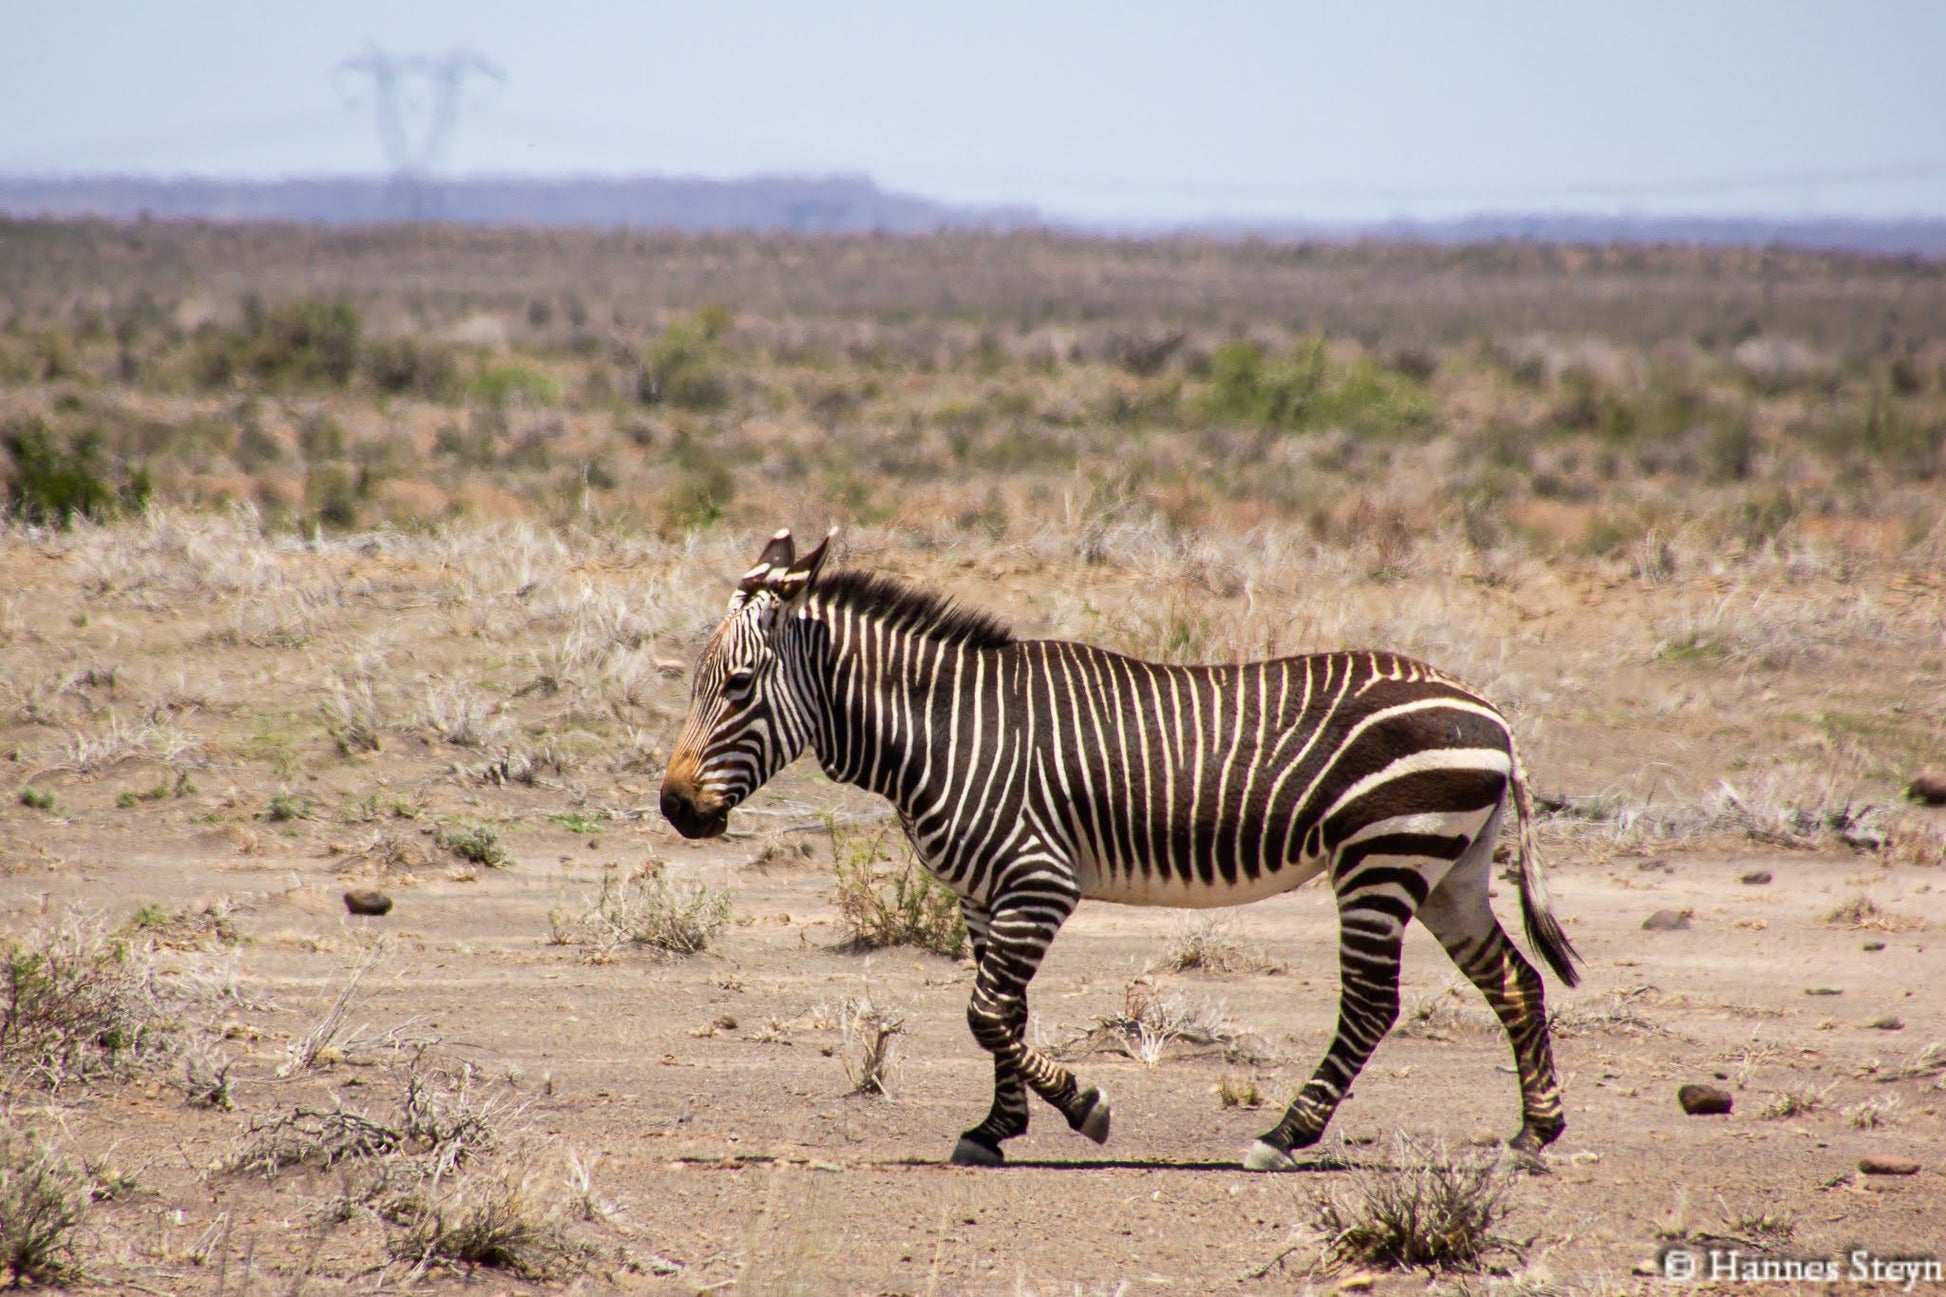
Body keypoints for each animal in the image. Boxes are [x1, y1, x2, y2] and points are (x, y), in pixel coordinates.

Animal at [661, 521, 1572, 1160]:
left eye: (737, 684)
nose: (673, 807)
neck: (944, 729)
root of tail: (1492, 713)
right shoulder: (984, 894)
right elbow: (1005, 1011)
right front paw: (997, 1125)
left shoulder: (1039, 879)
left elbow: (985, 1010)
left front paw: (1084, 1107)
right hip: (1450, 870)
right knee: (1517, 982)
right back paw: (1535, 1133)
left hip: (1383, 858)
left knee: (1374, 1004)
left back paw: (1286, 1135)